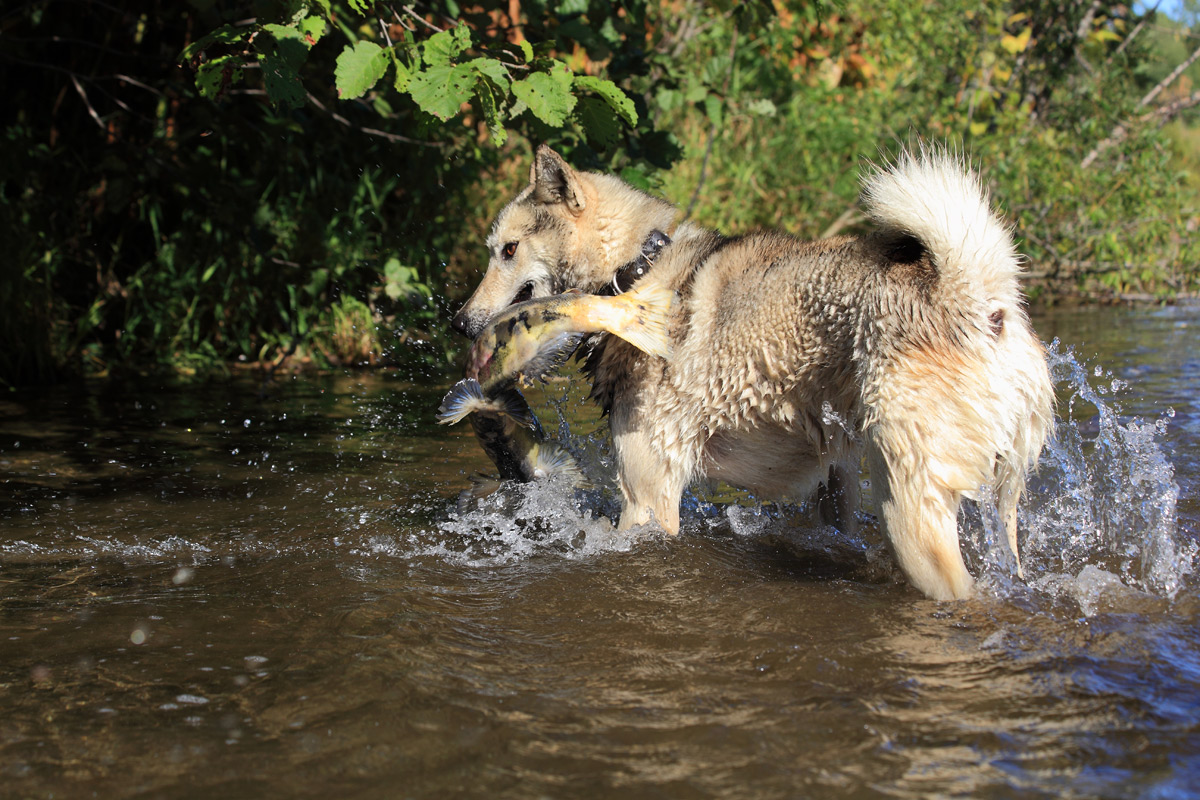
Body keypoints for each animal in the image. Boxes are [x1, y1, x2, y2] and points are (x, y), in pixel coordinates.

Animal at [453, 145, 1056, 599]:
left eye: (509, 250)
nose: (460, 323)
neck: (636, 270)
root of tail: (977, 303)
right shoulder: (834, 482)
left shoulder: (648, 499)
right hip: (996, 507)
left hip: (910, 512)